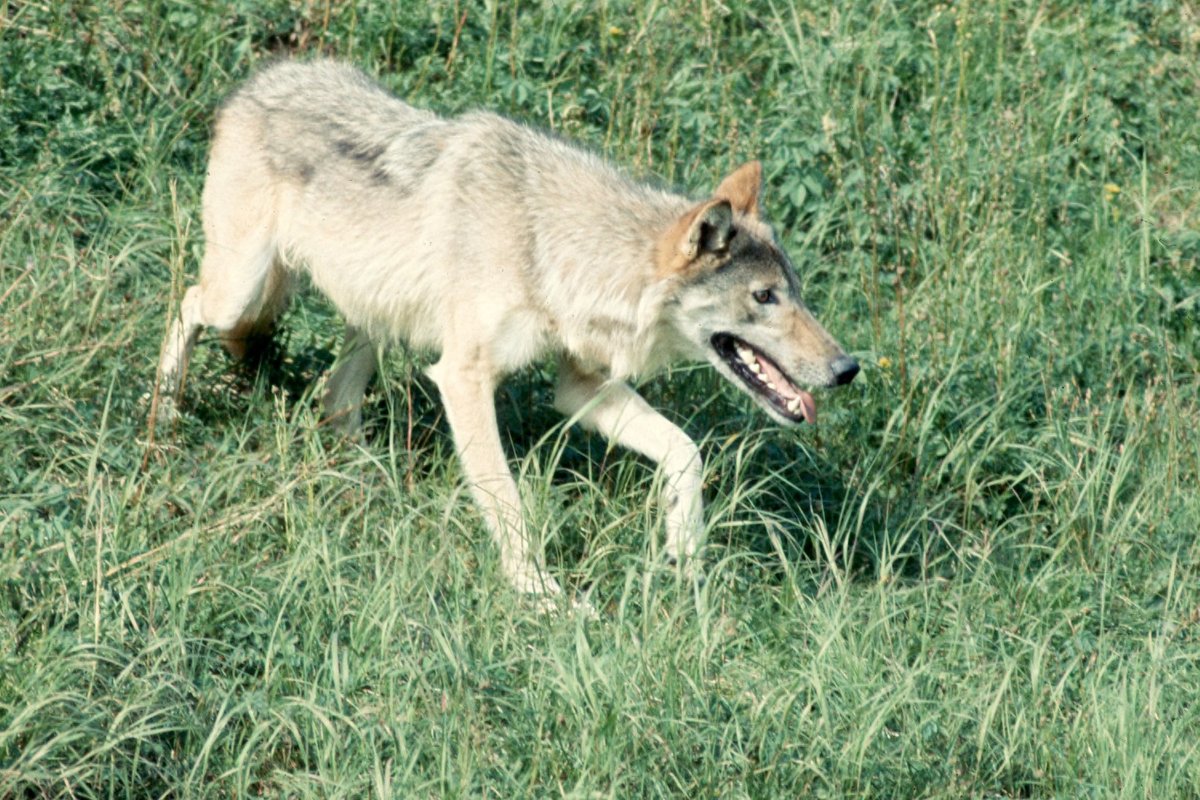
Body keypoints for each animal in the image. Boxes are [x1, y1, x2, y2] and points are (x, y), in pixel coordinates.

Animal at [156, 60, 859, 605]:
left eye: (797, 293)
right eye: (764, 298)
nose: (847, 368)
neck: (554, 248)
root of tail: (257, 81)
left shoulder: (580, 387)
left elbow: (686, 453)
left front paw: (685, 558)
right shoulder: (463, 377)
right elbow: (505, 498)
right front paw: (538, 594)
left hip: (373, 317)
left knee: (335, 398)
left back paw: (365, 474)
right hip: (240, 294)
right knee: (188, 304)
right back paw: (163, 418)